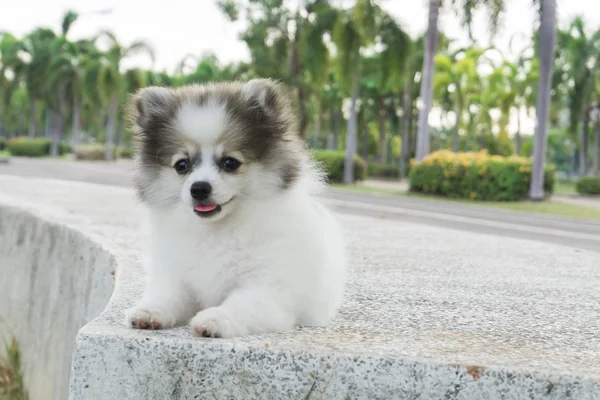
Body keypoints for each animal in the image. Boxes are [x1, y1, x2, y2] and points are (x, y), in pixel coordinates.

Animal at [123, 78, 346, 338]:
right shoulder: (178, 277)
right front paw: (149, 311)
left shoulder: (267, 289)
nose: (199, 188)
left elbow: (240, 304)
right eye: (182, 165)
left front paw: (215, 319)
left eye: (230, 163)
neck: (216, 229)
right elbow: (170, 296)